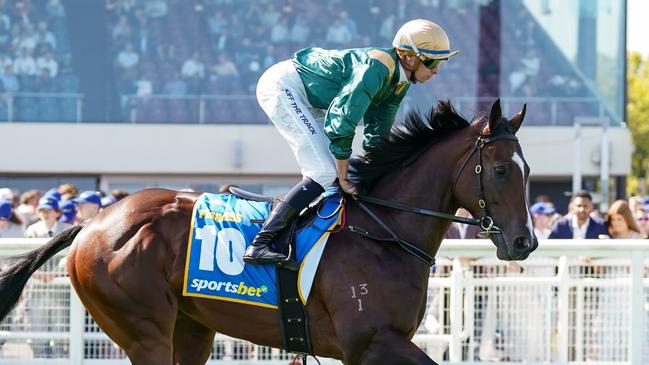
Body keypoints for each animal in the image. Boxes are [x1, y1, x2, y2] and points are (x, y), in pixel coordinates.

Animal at [0, 98, 536, 362]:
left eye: (528, 169)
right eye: (501, 170)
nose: (525, 242)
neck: (383, 234)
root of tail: (95, 221)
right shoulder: (371, 343)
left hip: (191, 329)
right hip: (143, 329)